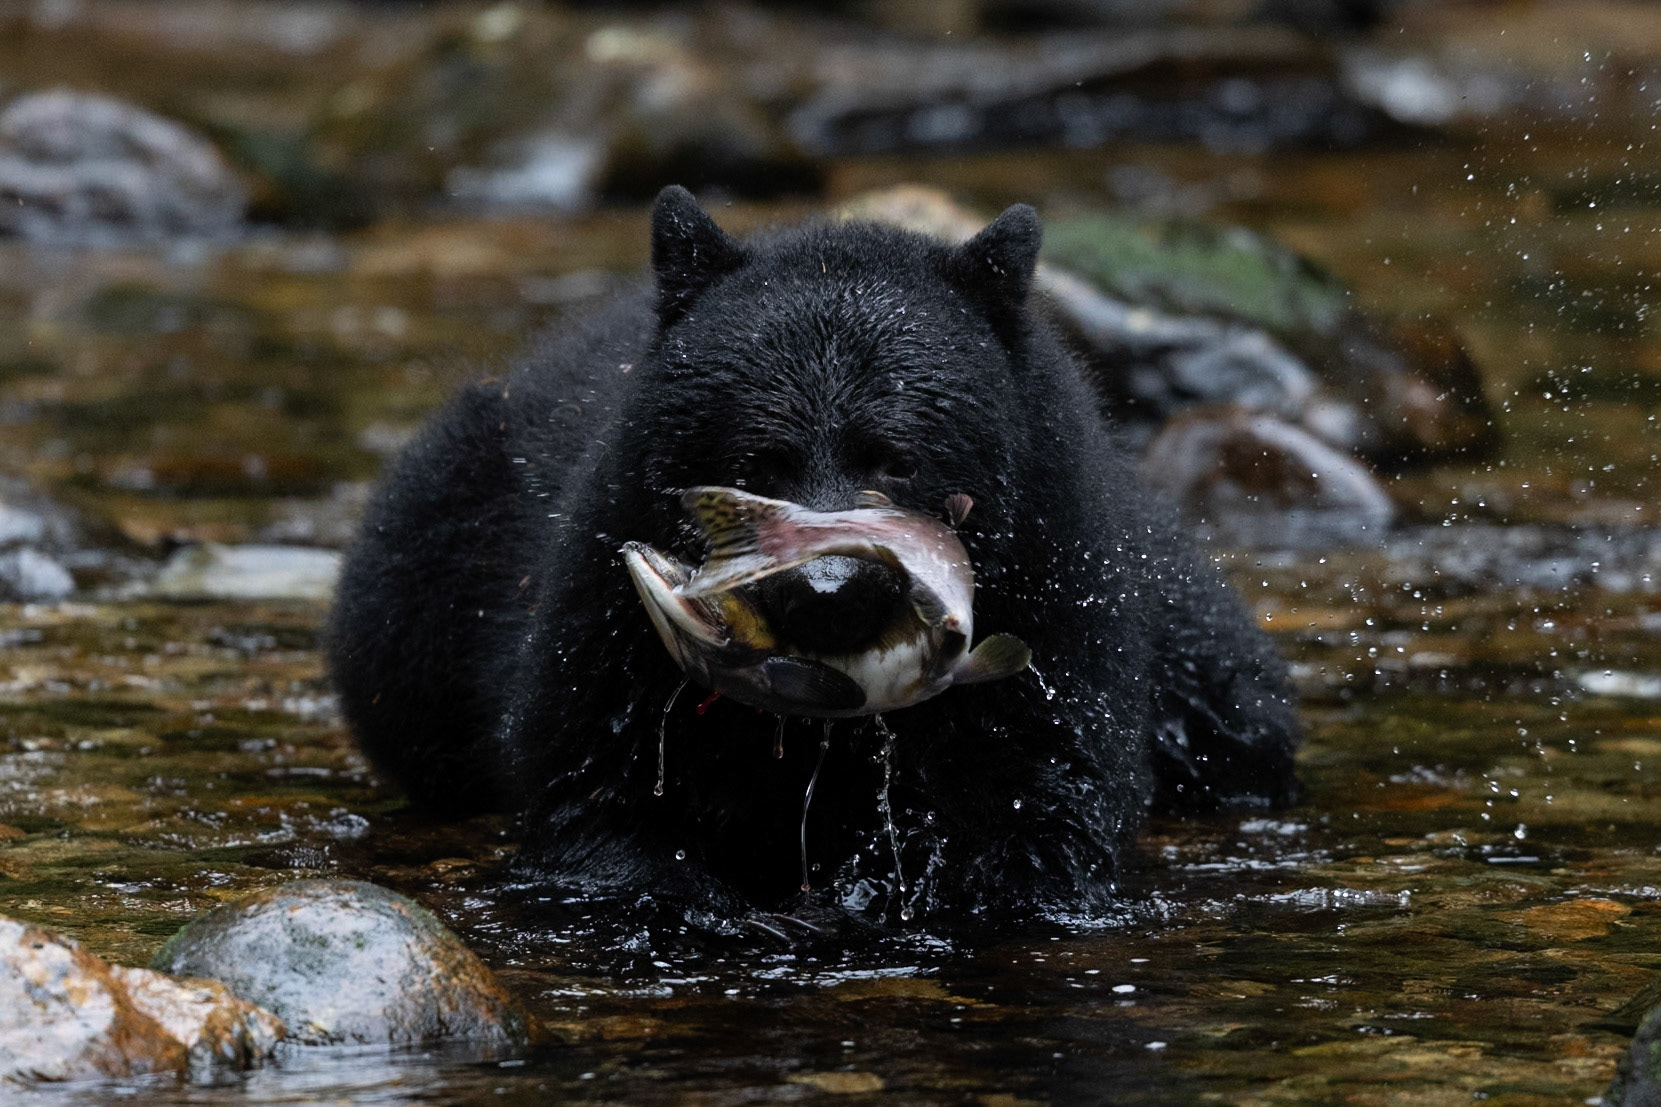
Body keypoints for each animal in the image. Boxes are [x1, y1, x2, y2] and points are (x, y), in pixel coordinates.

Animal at [326, 186, 1299, 932]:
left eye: (897, 458)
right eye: (759, 460)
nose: (830, 589)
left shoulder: (1057, 574)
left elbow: (1047, 791)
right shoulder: (601, 583)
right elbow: (596, 782)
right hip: (419, 585)